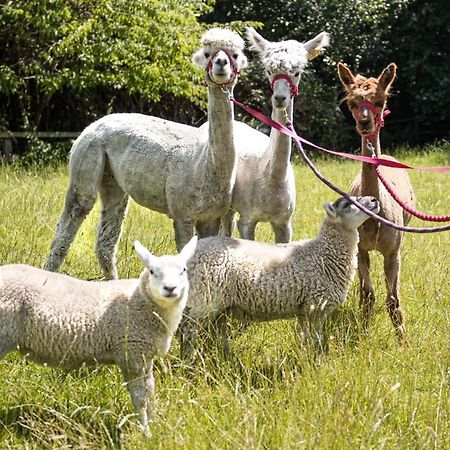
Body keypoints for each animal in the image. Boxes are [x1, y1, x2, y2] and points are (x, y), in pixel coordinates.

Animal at [0, 236, 197, 432]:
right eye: (152, 271)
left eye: (183, 270)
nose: (170, 288)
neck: (138, 301)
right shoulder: (130, 354)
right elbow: (140, 399)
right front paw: (145, 432)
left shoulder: (144, 356)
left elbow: (151, 393)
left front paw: (157, 426)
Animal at [179, 196, 380, 358]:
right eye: (347, 204)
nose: (374, 200)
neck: (323, 253)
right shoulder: (315, 305)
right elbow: (316, 339)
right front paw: (316, 360)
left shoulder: (305, 309)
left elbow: (306, 337)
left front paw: (306, 356)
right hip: (203, 300)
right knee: (186, 331)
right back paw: (188, 360)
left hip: (220, 306)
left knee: (215, 332)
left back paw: (224, 357)